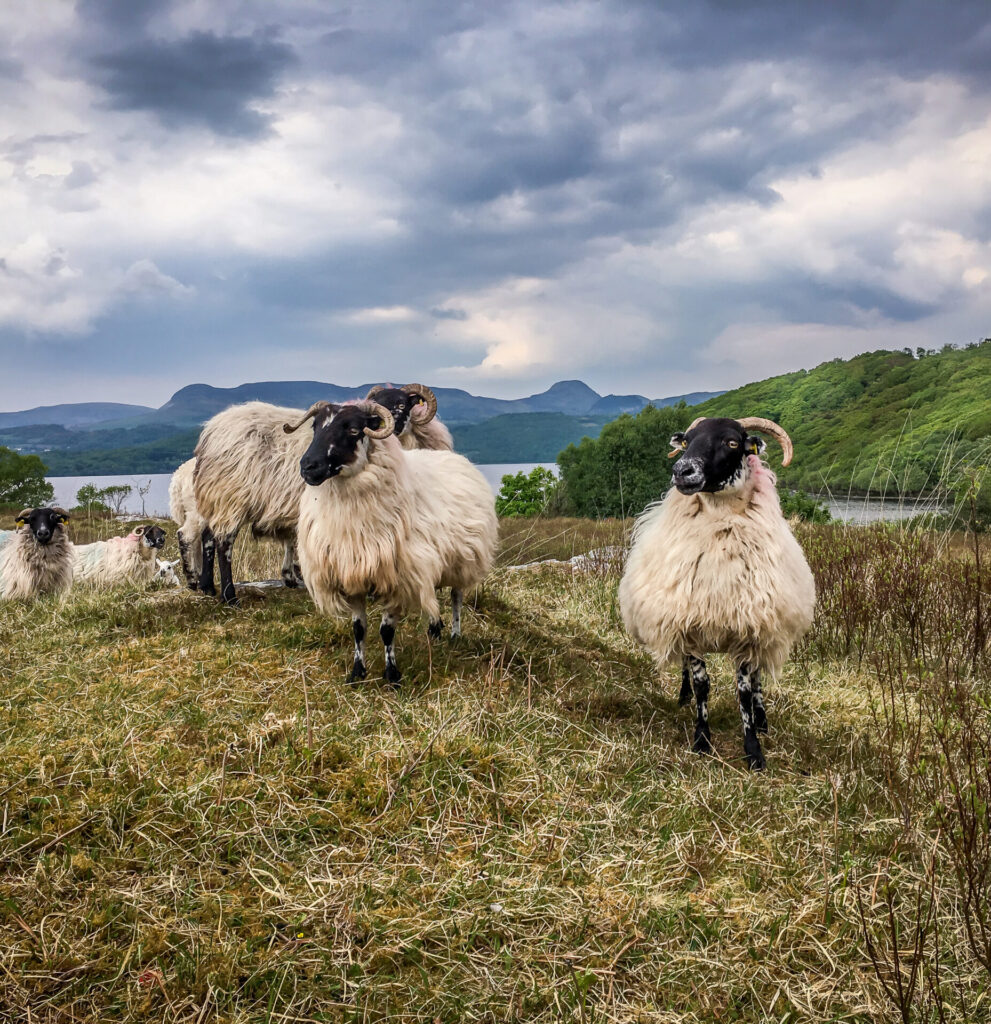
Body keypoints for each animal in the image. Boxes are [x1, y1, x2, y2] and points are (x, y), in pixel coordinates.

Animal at [193, 399, 309, 602]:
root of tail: (210, 432)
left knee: (208, 535)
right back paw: (230, 597)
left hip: (215, 496)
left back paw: (207, 586)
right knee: (224, 544)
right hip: (231, 496)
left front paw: (291, 576)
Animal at [286, 399, 499, 688]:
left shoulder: (397, 578)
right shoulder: (351, 574)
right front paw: (357, 672)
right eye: (315, 426)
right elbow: (359, 629)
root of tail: (457, 458)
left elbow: (386, 631)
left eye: (353, 429)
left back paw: (455, 634)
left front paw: (392, 675)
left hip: (462, 560)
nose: (308, 466)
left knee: (456, 596)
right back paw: (434, 629)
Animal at [614, 415, 814, 770]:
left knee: (759, 678)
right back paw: (683, 697)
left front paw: (753, 749)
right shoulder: (688, 625)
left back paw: (763, 719)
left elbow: (745, 691)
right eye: (687, 440)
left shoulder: (750, 628)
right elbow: (702, 685)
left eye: (732, 442)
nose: (682, 471)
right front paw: (701, 739)